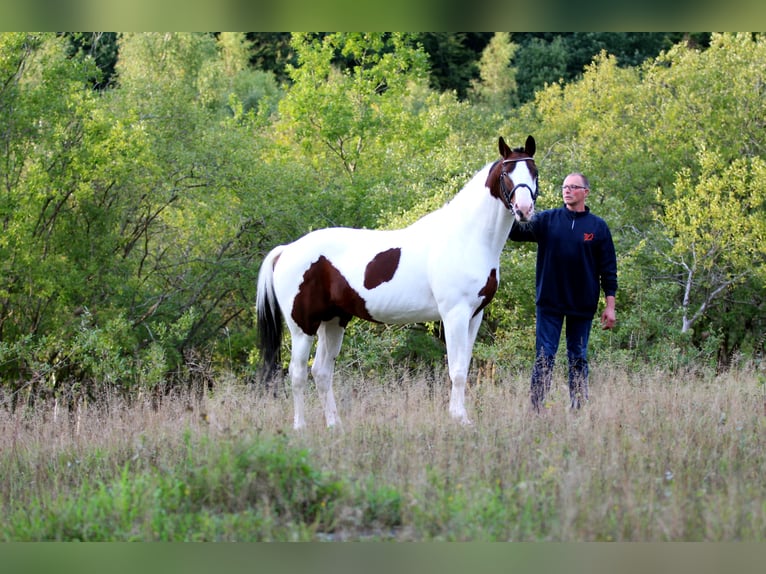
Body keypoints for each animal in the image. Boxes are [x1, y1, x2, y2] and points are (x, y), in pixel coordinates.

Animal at [256, 135, 538, 429]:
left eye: (534, 171)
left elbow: (464, 365)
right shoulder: (455, 315)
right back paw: (300, 427)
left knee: (321, 371)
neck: (466, 237)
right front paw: (459, 419)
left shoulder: (474, 316)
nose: (524, 210)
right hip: (303, 327)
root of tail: (286, 250)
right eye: (506, 173)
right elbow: (457, 370)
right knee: (297, 373)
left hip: (333, 321)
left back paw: (335, 426)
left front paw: (462, 417)